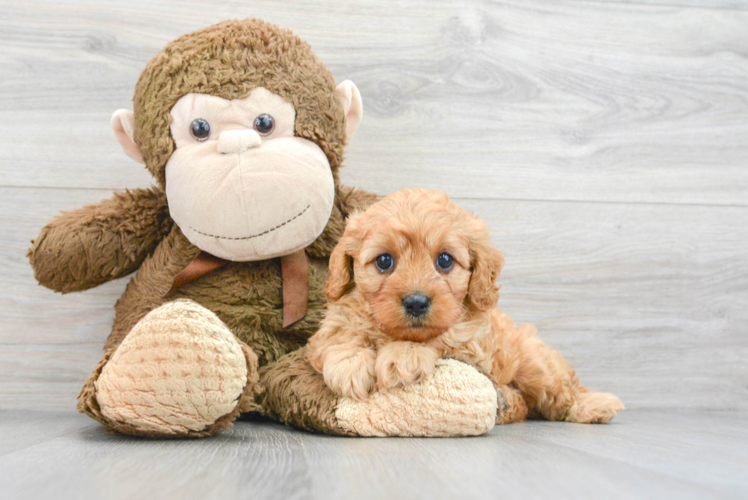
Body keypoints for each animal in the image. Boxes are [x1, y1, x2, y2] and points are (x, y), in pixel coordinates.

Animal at [306, 189, 624, 424]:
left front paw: (404, 355)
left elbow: (439, 337)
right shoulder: (334, 321)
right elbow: (341, 332)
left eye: (445, 260)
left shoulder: (472, 343)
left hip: (536, 365)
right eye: (384, 261)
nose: (416, 302)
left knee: (561, 392)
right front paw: (349, 364)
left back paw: (594, 405)